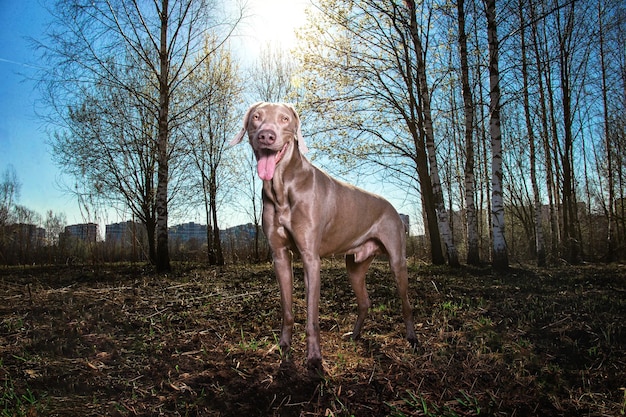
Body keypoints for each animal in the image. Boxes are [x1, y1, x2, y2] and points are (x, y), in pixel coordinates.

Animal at [229, 102, 414, 368]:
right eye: (256, 117)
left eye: (285, 119)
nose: (266, 136)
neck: (283, 187)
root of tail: (393, 208)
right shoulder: (280, 257)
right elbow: (287, 311)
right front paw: (283, 346)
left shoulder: (311, 259)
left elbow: (312, 318)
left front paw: (314, 358)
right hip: (354, 266)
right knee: (365, 302)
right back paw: (354, 335)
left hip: (397, 260)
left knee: (406, 303)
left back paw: (412, 338)